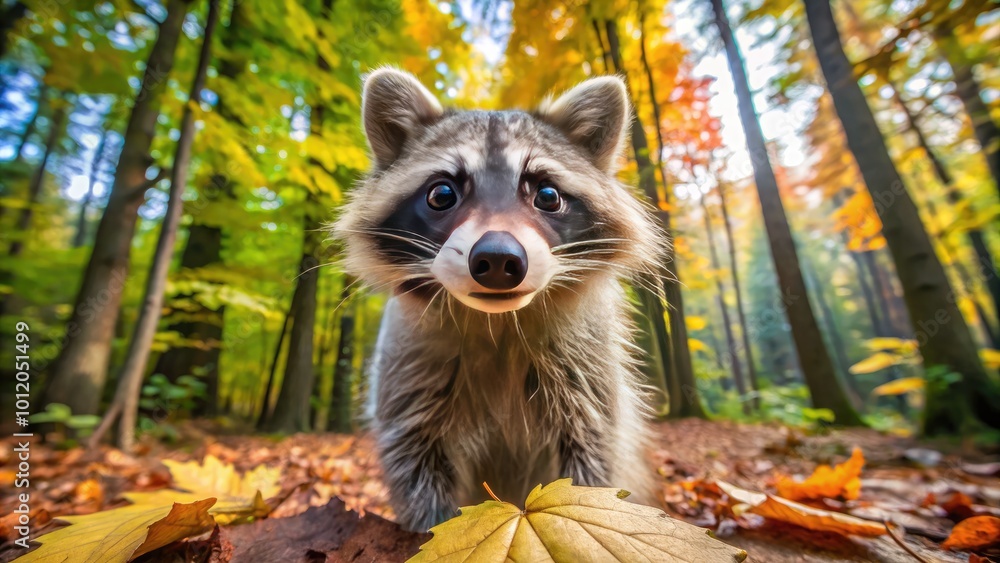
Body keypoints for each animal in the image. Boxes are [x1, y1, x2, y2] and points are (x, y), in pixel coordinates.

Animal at [334, 68, 666, 531]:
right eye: (441, 194)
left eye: (547, 195)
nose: (496, 259)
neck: (499, 323)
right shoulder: (407, 373)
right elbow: (414, 467)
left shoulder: (589, 377)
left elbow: (595, 463)